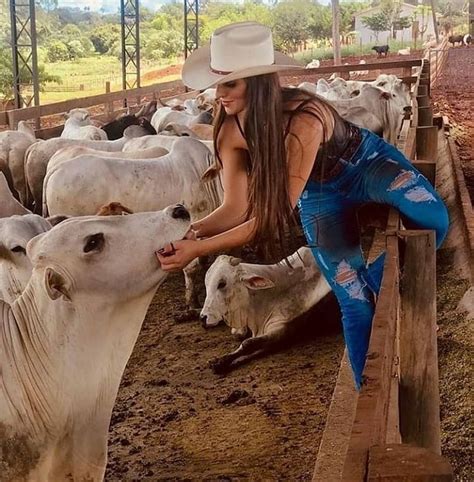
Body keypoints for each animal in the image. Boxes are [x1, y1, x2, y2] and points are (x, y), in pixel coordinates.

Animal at [200, 247, 330, 374]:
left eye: (221, 284)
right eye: (206, 283)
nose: (203, 318)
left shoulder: (282, 329)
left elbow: (248, 343)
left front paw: (220, 361)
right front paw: (219, 361)